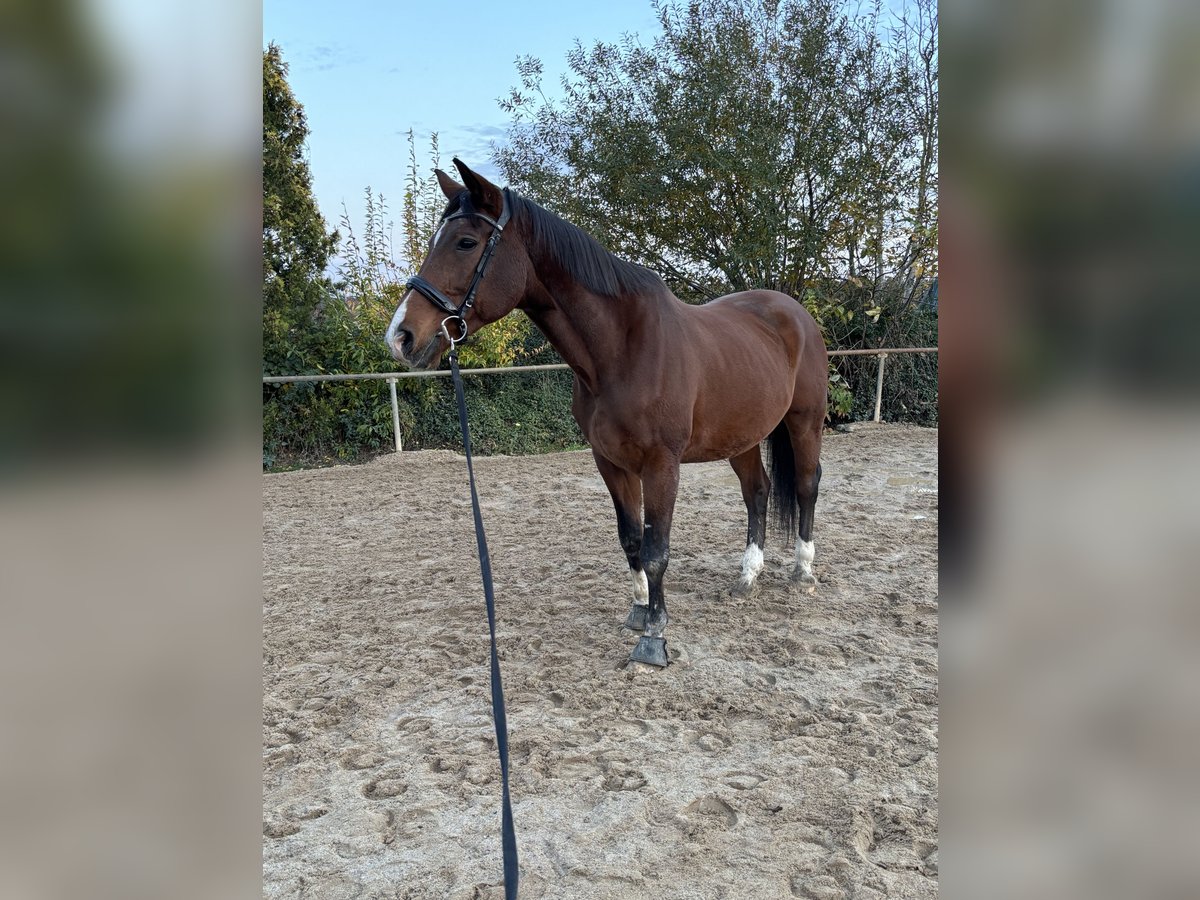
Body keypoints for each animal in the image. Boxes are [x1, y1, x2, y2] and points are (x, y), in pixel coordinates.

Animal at [385, 158, 827, 668]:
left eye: (465, 242)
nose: (401, 337)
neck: (620, 350)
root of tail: (795, 312)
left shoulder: (661, 464)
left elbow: (656, 548)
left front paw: (654, 636)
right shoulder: (610, 461)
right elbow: (630, 538)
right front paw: (638, 610)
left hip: (804, 421)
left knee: (806, 485)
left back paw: (803, 571)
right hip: (742, 435)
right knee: (757, 492)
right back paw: (748, 576)